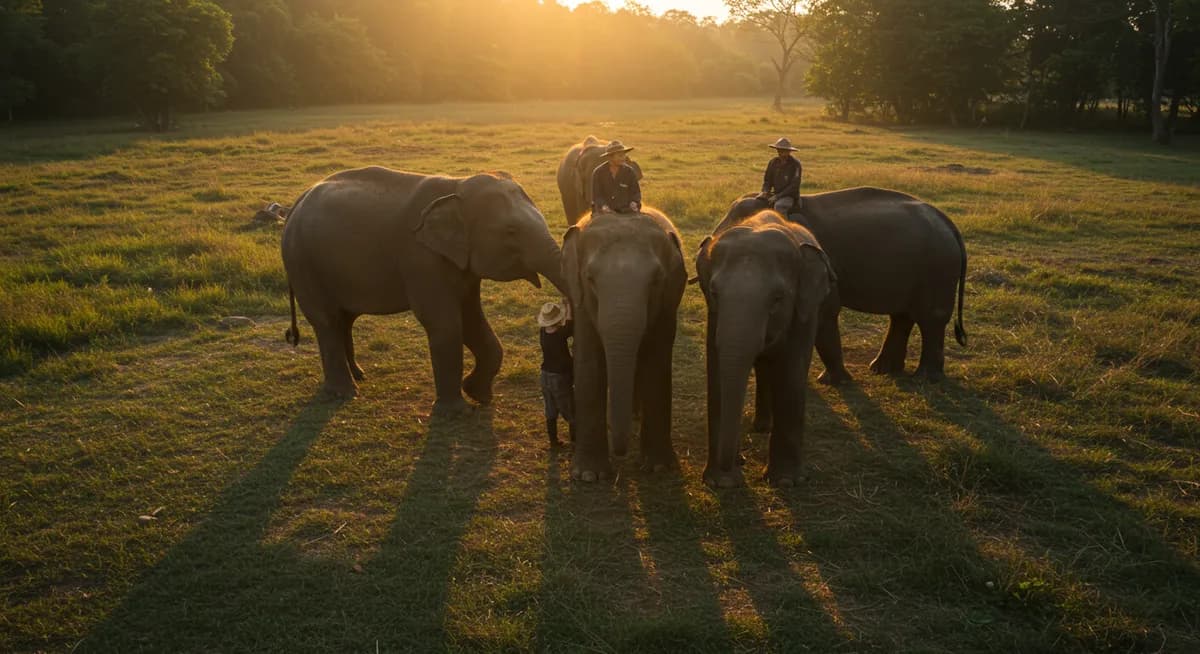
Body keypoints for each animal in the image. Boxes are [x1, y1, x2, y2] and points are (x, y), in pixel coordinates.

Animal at [281, 166, 567, 413]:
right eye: (511, 231)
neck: (457, 186)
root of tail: (295, 204)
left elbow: (471, 319)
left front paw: (479, 395)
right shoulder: (420, 258)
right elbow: (445, 322)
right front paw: (456, 412)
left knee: (344, 319)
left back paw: (359, 376)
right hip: (303, 262)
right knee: (327, 321)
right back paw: (345, 393)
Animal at [561, 208, 687, 481]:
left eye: (656, 280)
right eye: (590, 278)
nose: (620, 454)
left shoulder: (667, 304)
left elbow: (657, 364)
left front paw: (659, 468)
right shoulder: (581, 300)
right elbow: (589, 363)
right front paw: (589, 475)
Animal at [695, 209, 837, 488]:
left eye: (778, 298)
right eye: (714, 293)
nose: (738, 461)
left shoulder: (804, 311)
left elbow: (791, 371)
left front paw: (786, 481)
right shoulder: (714, 315)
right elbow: (717, 370)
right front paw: (721, 482)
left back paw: (764, 428)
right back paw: (761, 427)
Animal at [716, 187, 967, 383]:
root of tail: (949, 223)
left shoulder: (824, 259)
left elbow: (826, 311)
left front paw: (830, 381)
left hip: (938, 269)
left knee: (931, 319)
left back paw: (924, 378)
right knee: (902, 316)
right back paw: (882, 370)